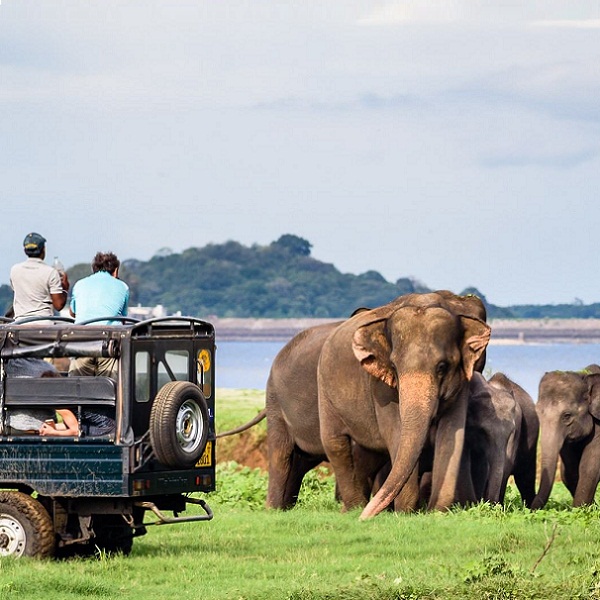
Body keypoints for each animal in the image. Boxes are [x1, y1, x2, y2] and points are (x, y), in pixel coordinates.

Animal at [316, 288, 490, 516]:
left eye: (442, 367)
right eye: (394, 367)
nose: (365, 518)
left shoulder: (462, 381)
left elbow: (452, 434)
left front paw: (437, 512)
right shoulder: (381, 388)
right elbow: (396, 434)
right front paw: (405, 513)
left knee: (366, 454)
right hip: (324, 389)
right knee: (335, 443)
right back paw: (354, 508)